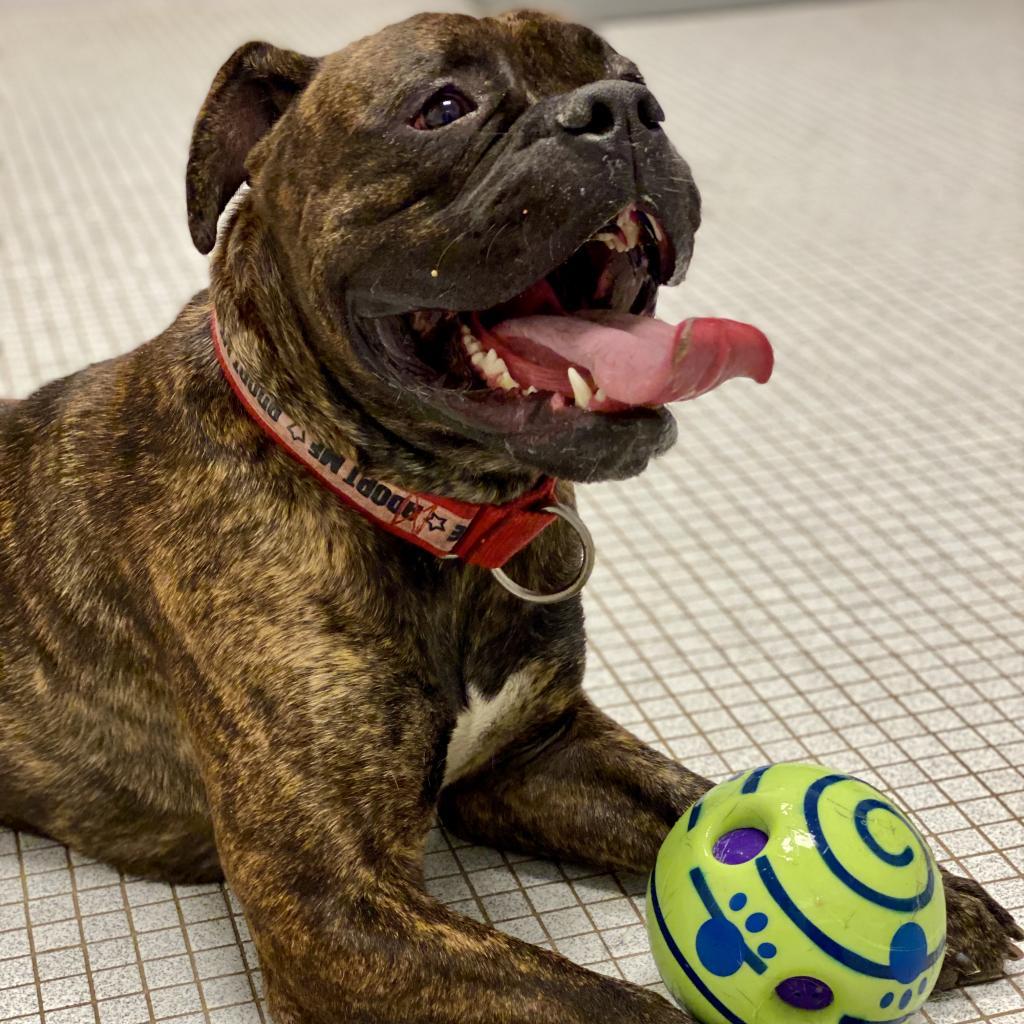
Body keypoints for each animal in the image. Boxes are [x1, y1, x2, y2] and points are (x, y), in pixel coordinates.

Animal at [0, 9, 1019, 1024]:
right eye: (442, 107)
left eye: (635, 78)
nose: (621, 112)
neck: (430, 509)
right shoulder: (330, 910)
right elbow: (602, 1004)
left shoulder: (536, 756)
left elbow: (683, 794)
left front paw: (946, 902)